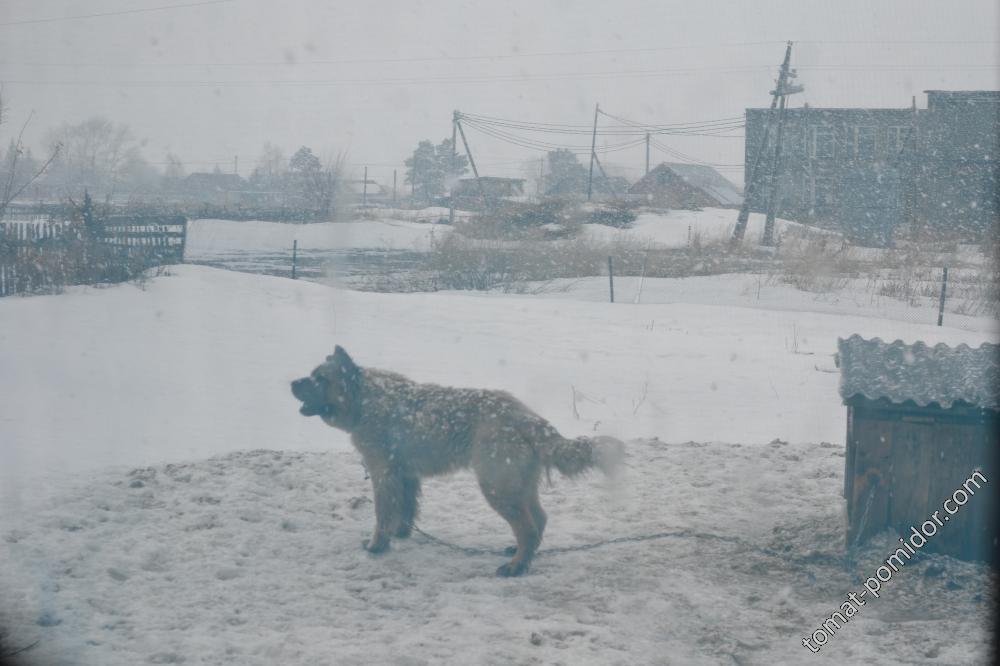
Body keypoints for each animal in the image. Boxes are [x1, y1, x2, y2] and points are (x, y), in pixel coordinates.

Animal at [290, 344, 620, 572]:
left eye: (319, 378)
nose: (292, 383)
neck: (364, 400)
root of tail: (528, 418)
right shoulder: (405, 475)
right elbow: (405, 510)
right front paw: (401, 534)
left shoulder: (383, 473)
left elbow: (382, 515)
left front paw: (377, 546)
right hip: (518, 485)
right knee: (538, 521)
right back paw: (521, 556)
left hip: (497, 486)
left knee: (527, 527)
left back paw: (516, 567)